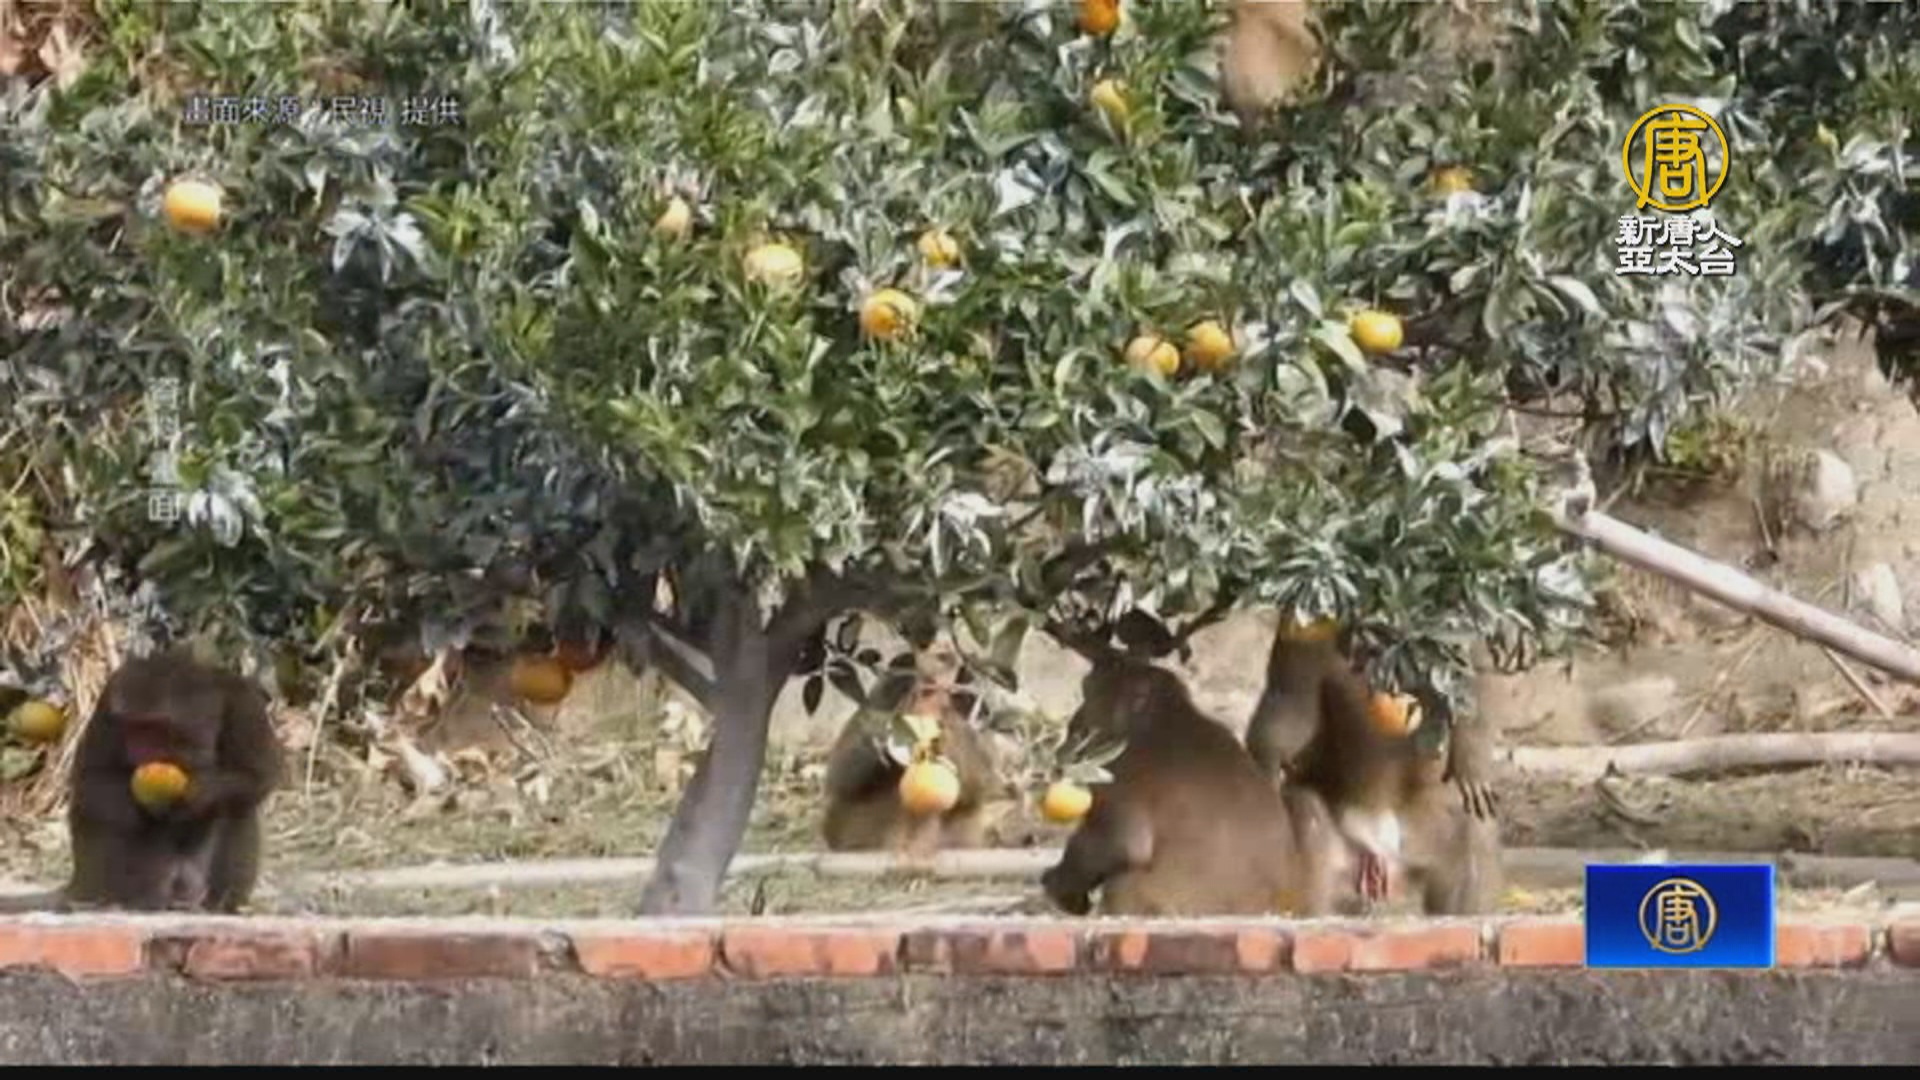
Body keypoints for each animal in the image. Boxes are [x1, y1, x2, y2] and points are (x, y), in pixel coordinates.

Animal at [0, 650, 283, 914]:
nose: (139, 747)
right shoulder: (107, 705)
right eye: (133, 727)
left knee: (238, 809)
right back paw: (144, 900)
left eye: (154, 728)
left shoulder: (243, 702)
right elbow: (91, 780)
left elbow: (258, 776)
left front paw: (196, 794)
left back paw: (216, 904)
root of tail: (82, 883)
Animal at [1040, 650, 1351, 918]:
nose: (1076, 722)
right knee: (1304, 798)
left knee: (1122, 884)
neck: (1164, 715)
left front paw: (1059, 886)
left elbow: (1124, 842)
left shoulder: (1121, 765)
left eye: (1089, 691)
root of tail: (1273, 904)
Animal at [1244, 619, 1502, 914]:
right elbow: (1290, 698)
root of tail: (1381, 852)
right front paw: (1266, 766)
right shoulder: (1303, 630)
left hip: (1422, 840)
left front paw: (1470, 761)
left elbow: (1475, 666)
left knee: (1472, 829)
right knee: (1306, 811)